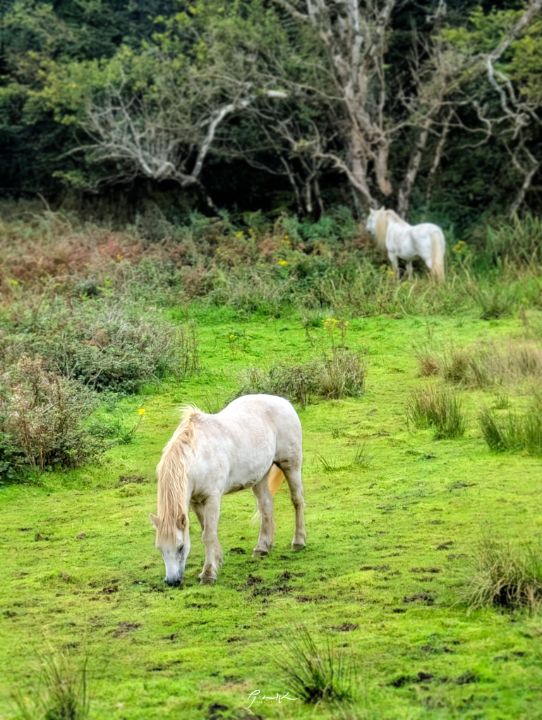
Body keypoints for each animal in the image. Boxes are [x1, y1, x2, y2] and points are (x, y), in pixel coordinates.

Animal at [150, 394, 306, 586]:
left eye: (180, 547)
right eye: (160, 548)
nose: (172, 581)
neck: (198, 456)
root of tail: (284, 402)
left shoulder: (212, 498)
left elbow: (208, 534)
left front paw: (208, 573)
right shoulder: (195, 501)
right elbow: (206, 530)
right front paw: (217, 560)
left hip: (290, 465)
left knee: (297, 500)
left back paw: (298, 542)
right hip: (260, 477)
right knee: (266, 507)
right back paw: (262, 548)